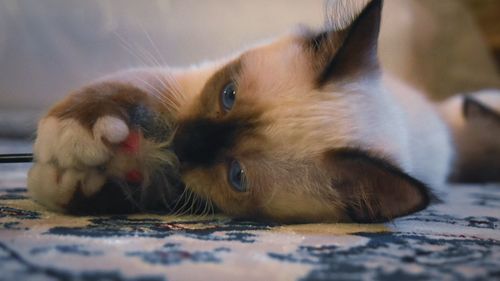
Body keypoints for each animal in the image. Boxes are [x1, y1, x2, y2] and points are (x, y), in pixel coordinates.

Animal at [26, 0, 460, 222]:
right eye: (228, 95)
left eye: (237, 176)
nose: (180, 144)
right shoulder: (189, 82)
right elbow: (129, 87)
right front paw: (71, 139)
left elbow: (137, 191)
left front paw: (66, 181)